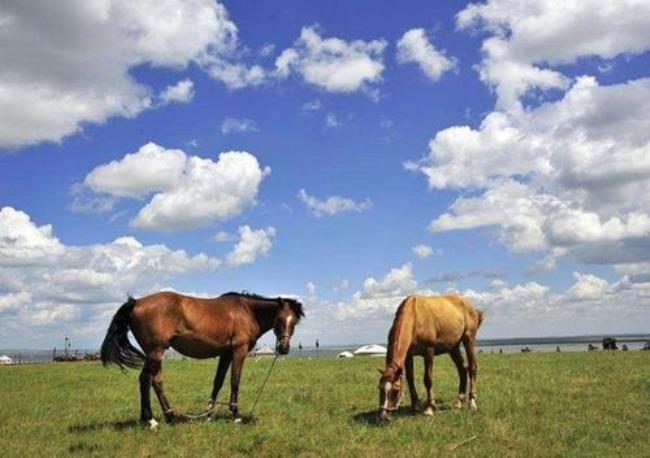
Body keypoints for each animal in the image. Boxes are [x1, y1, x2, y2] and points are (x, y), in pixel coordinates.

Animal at [100, 292, 304, 428]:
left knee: (156, 381)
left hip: (155, 353)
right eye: (279, 319)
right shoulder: (239, 351)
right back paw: (150, 420)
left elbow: (218, 382)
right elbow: (235, 381)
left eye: (294, 322)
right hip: (155, 351)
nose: (284, 348)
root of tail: (136, 302)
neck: (246, 310)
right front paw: (235, 414)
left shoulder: (225, 354)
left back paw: (171, 417)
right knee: (145, 380)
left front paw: (209, 414)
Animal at [374, 294, 480, 422]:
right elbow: (410, 378)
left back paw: (472, 403)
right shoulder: (409, 355)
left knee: (472, 368)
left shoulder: (428, 351)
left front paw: (429, 409)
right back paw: (459, 401)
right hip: (453, 348)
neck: (414, 316)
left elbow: (428, 379)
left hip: (469, 339)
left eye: (396, 390)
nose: (383, 417)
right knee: (462, 370)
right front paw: (415, 406)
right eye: (380, 387)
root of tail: (470, 306)